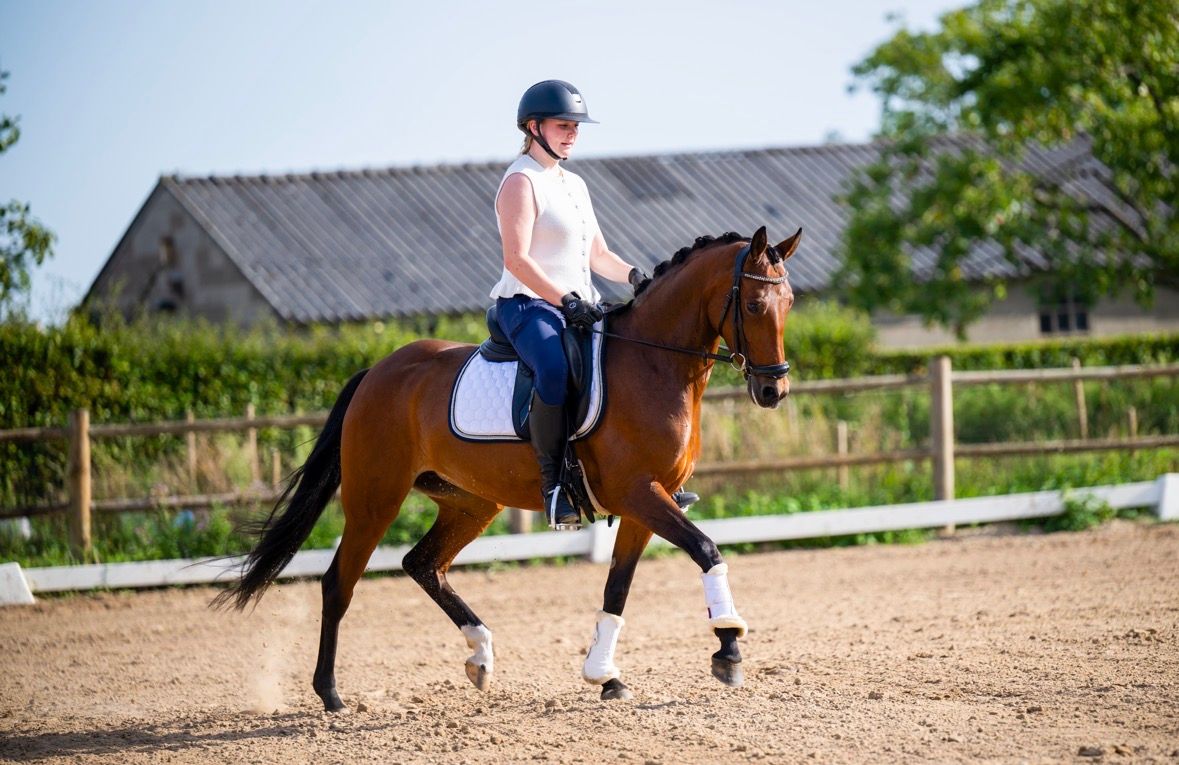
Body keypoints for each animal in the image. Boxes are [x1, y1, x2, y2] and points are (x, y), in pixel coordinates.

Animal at [214, 225, 800, 710]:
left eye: (789, 302)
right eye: (752, 304)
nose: (773, 390)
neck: (653, 363)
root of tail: (377, 371)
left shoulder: (644, 504)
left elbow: (617, 589)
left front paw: (604, 675)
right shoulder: (638, 493)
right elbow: (706, 549)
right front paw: (729, 647)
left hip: (471, 502)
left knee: (422, 565)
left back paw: (480, 655)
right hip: (374, 498)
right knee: (340, 581)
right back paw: (330, 693)